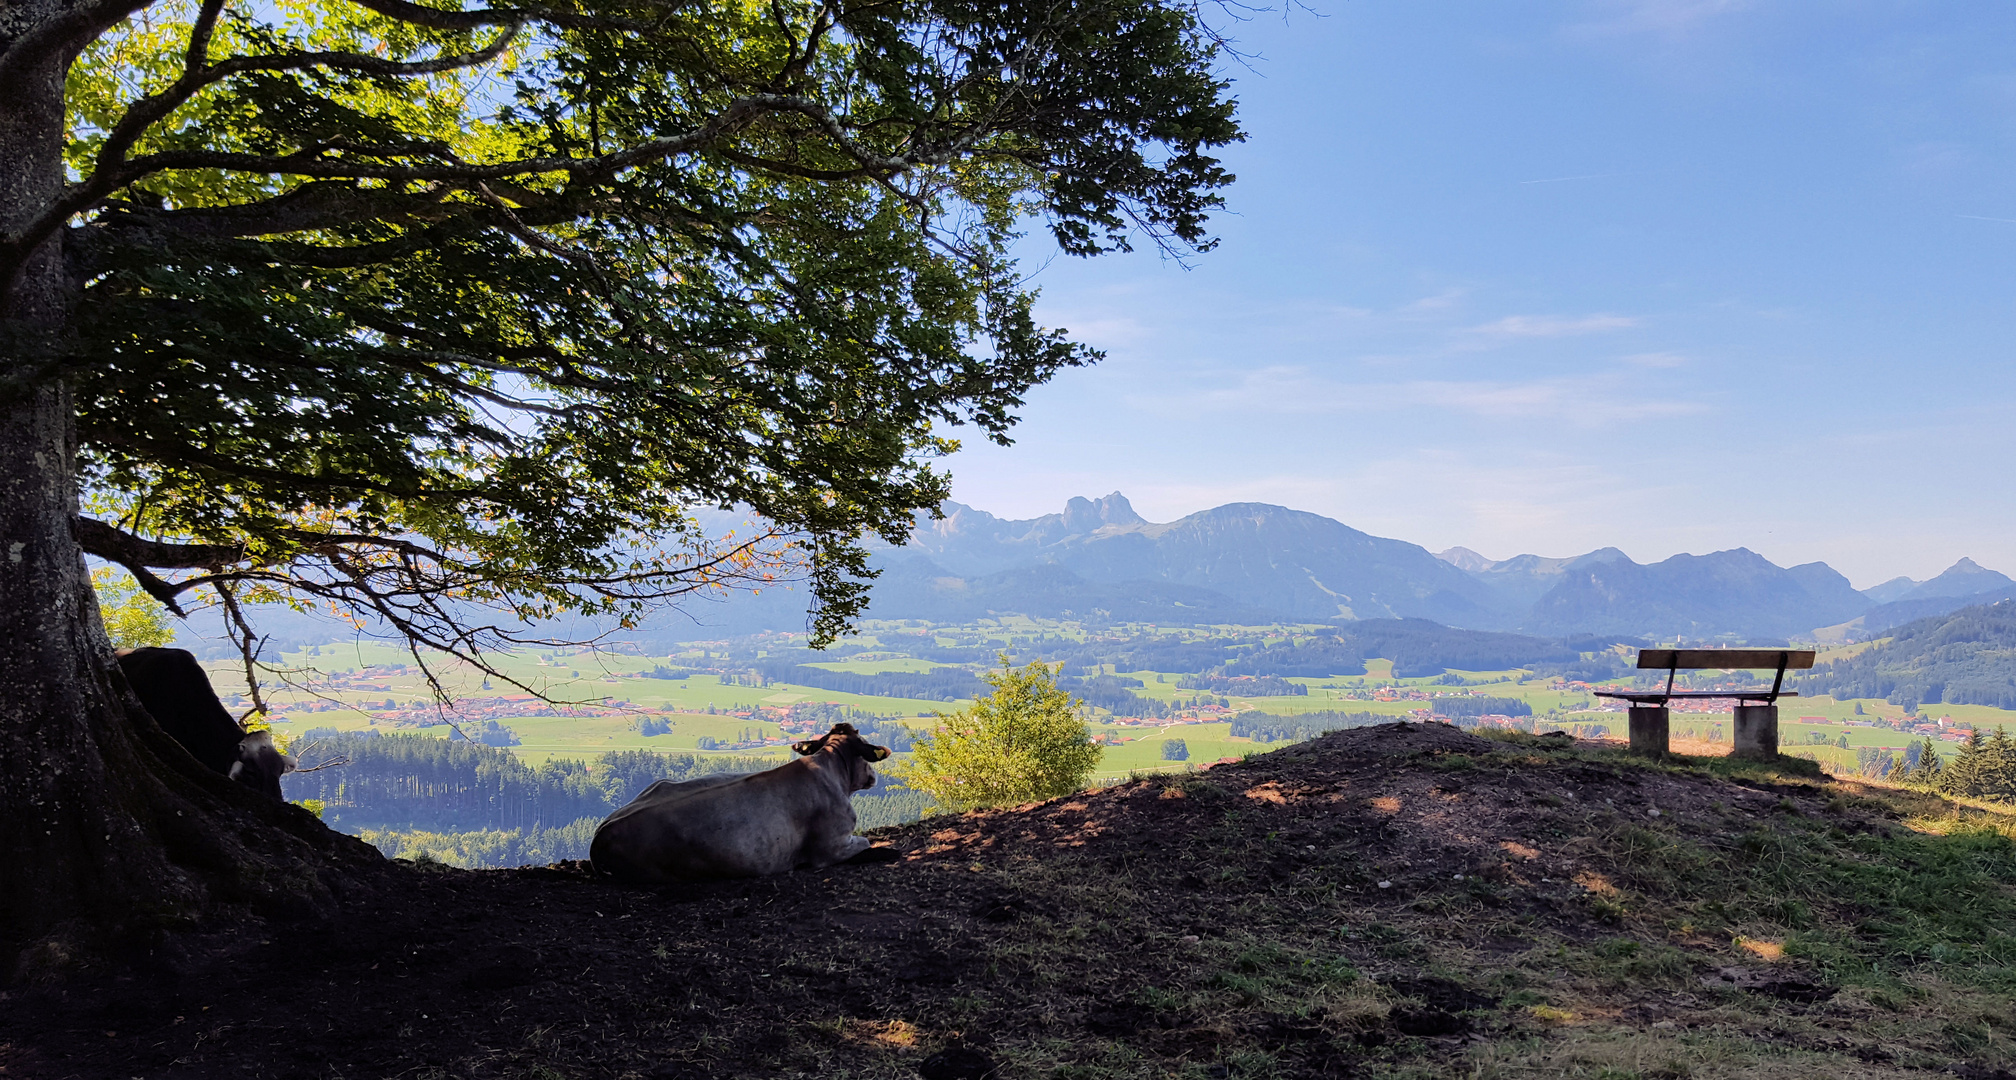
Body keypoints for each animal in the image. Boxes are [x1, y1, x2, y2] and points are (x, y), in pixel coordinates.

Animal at [588, 721, 895, 882]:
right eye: (865, 753)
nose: (873, 777)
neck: (831, 770)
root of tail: (602, 833)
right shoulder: (830, 847)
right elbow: (867, 843)